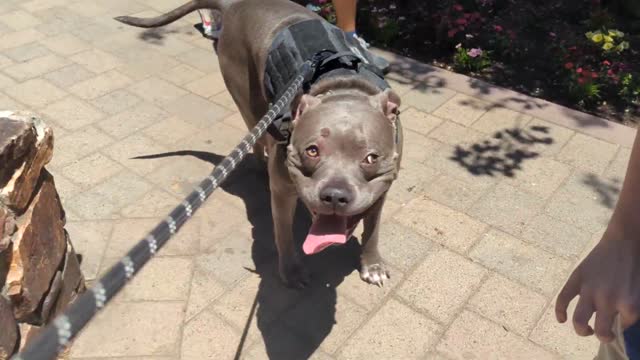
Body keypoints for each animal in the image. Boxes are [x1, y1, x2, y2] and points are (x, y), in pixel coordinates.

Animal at [116, 0, 400, 286]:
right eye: (312, 151)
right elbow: (283, 233)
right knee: (256, 136)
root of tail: (235, 4)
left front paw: (372, 264)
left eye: (371, 158)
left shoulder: (383, 189)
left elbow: (372, 228)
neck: (343, 87)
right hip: (248, 97)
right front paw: (291, 271)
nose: (335, 196)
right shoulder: (283, 188)